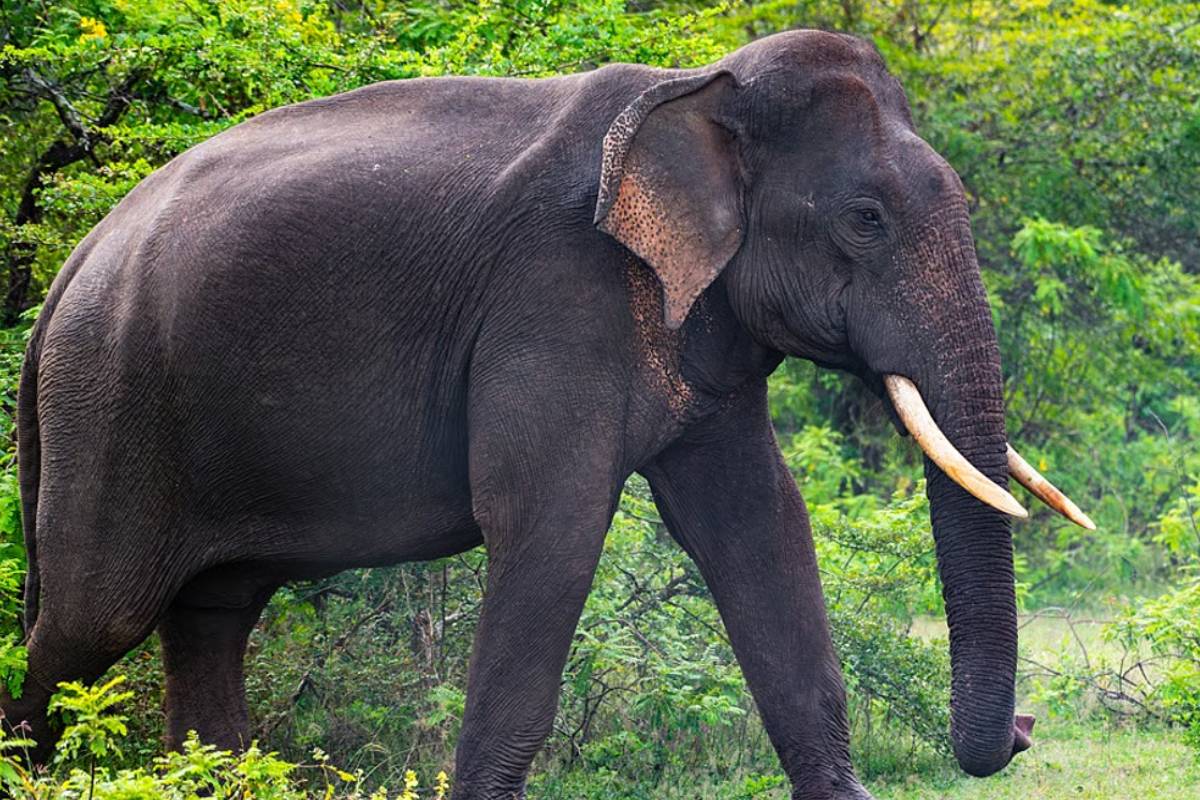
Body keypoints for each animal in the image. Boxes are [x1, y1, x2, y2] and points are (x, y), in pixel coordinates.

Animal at [0, 29, 1093, 799]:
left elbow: (761, 526)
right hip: (111, 403)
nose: (1028, 728)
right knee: (89, 620)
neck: (694, 88)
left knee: (212, 614)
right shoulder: (557, 294)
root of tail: (65, 272)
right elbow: (551, 526)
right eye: (865, 219)